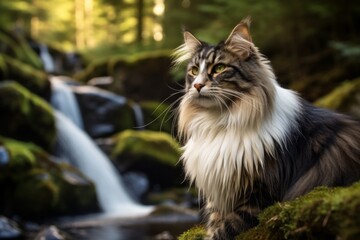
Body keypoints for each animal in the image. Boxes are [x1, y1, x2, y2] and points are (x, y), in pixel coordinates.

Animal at [173, 17, 360, 239]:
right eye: (194, 71)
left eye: (219, 68)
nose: (197, 86)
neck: (220, 122)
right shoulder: (219, 195)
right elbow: (215, 221)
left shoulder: (260, 194)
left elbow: (223, 230)